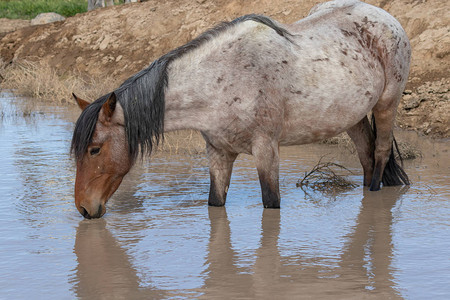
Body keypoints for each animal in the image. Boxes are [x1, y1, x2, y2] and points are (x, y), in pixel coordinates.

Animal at [71, 0, 412, 218]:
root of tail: (386, 17)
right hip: (352, 117)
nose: (84, 208)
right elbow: (215, 204)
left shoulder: (266, 151)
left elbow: (270, 203)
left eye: (94, 149)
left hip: (387, 104)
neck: (221, 79)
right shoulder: (219, 153)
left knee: (380, 154)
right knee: (366, 156)